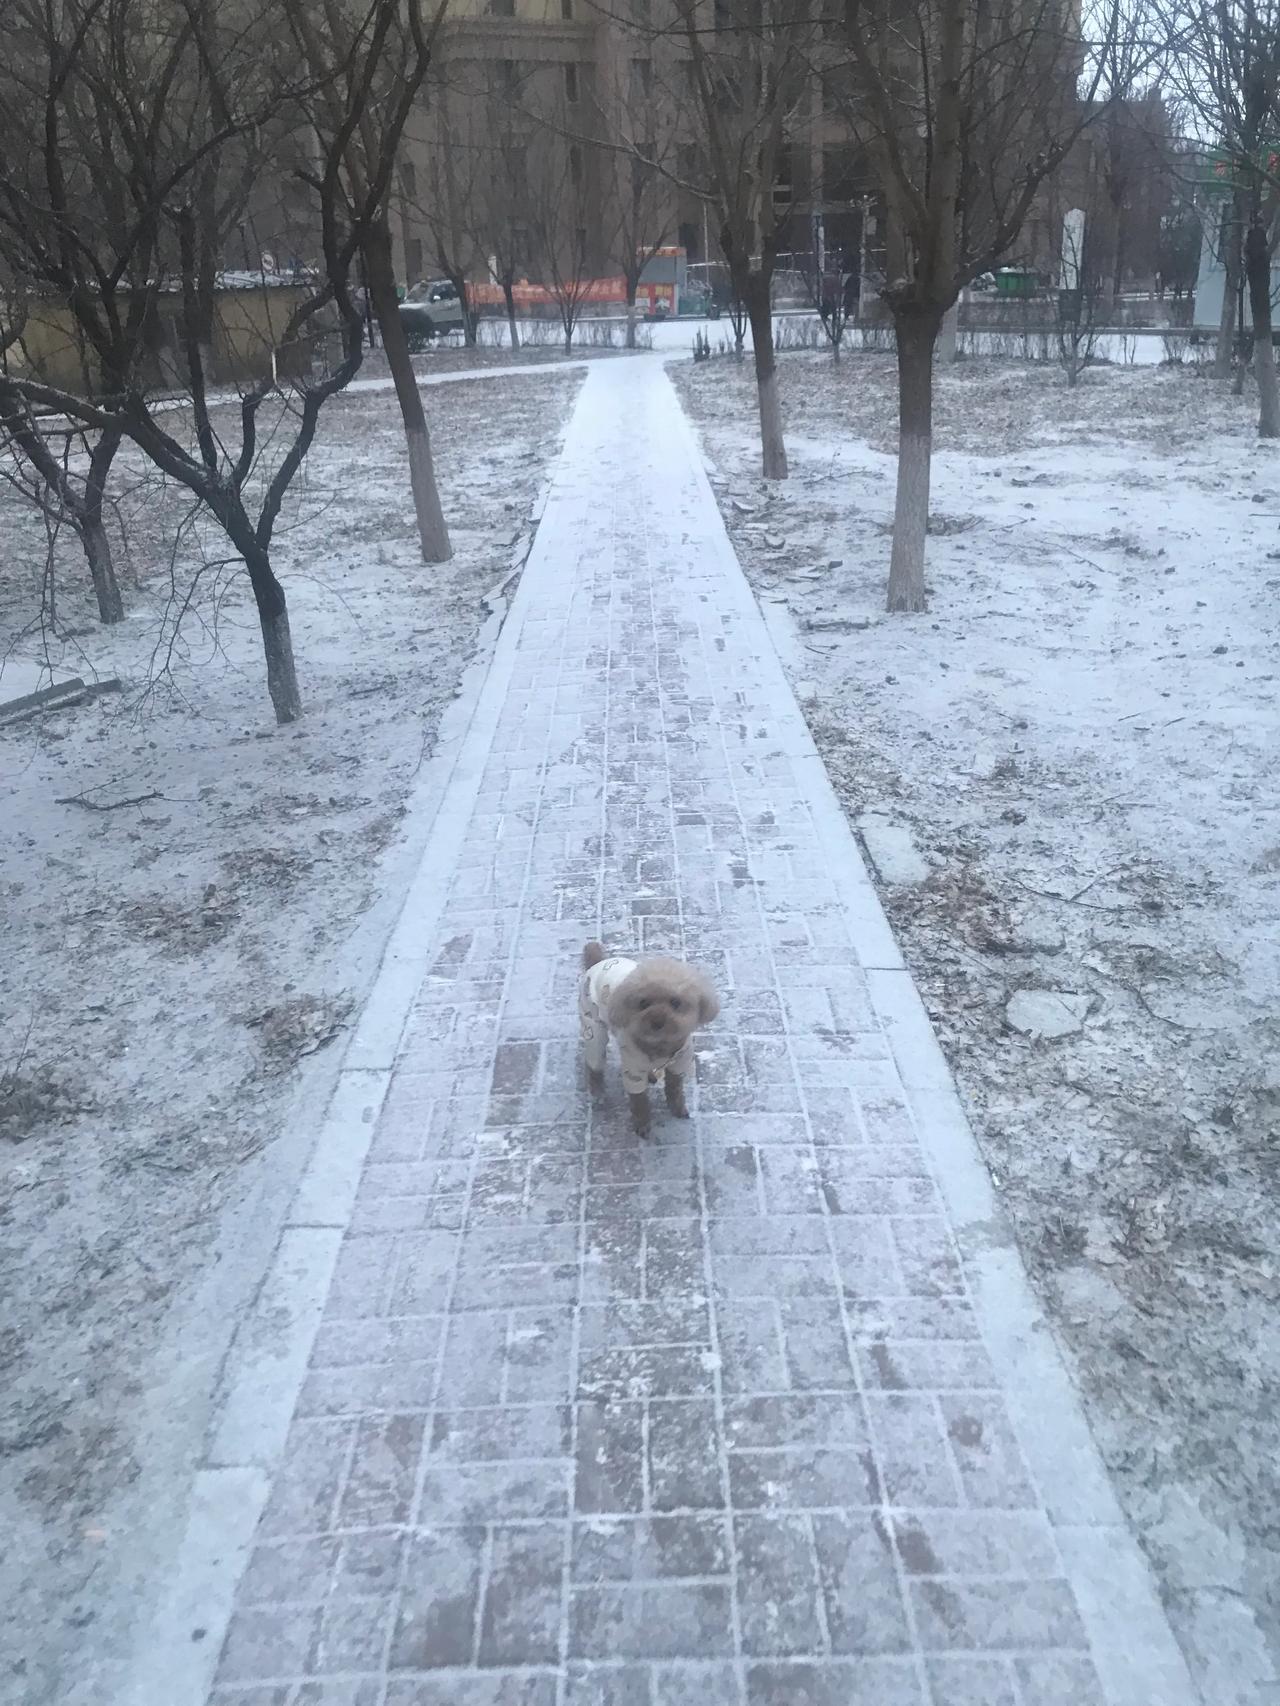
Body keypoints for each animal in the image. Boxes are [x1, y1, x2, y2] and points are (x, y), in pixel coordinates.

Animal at [580, 941, 723, 1139]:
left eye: (675, 1002)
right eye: (643, 1003)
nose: (657, 1022)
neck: (660, 1045)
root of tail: (600, 962)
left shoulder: (680, 1062)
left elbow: (674, 1088)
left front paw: (677, 1108)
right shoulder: (632, 1071)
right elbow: (639, 1101)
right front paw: (642, 1124)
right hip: (594, 1030)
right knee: (594, 1066)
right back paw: (598, 1093)